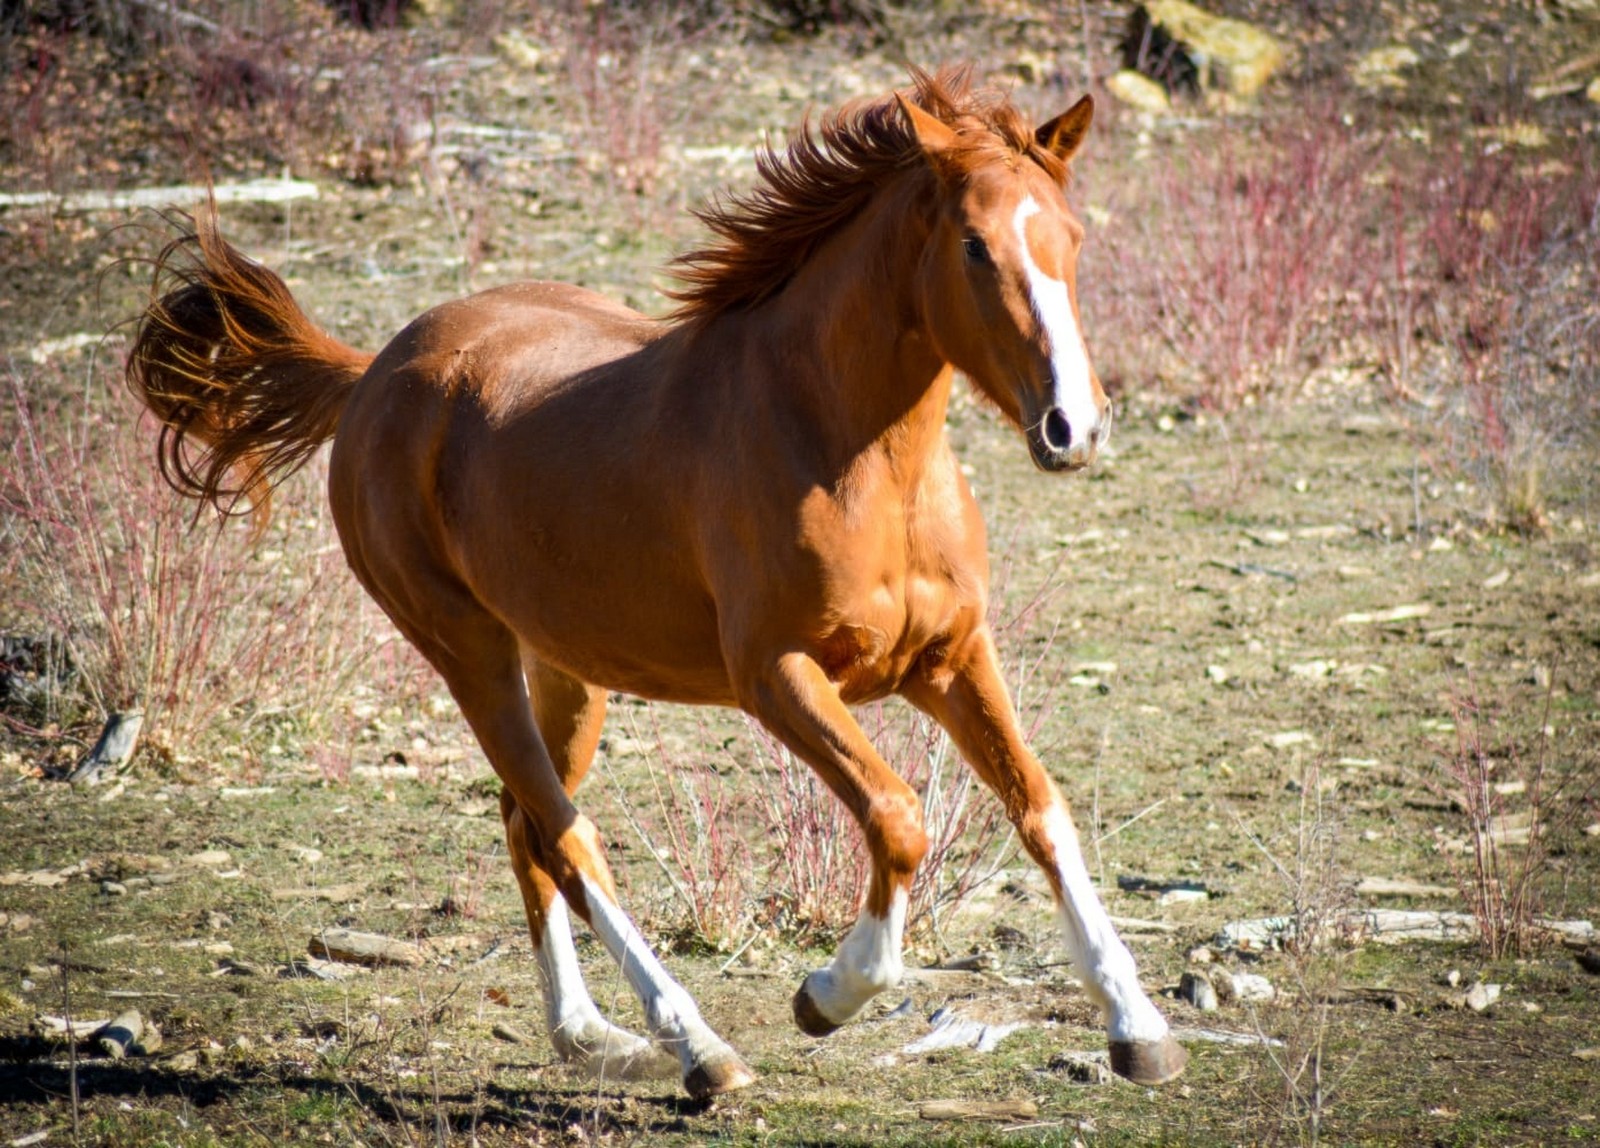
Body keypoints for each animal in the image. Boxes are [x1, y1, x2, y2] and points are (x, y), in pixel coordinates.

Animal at [131, 67, 1190, 1100]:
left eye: (1072, 237)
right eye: (974, 245)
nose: (1073, 426)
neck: (850, 453)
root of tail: (374, 373)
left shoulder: (952, 658)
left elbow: (1041, 810)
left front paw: (1139, 1029)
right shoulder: (778, 676)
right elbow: (897, 818)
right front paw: (828, 995)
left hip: (568, 672)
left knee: (525, 825)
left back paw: (592, 1038)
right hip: (468, 655)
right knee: (568, 837)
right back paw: (697, 1048)